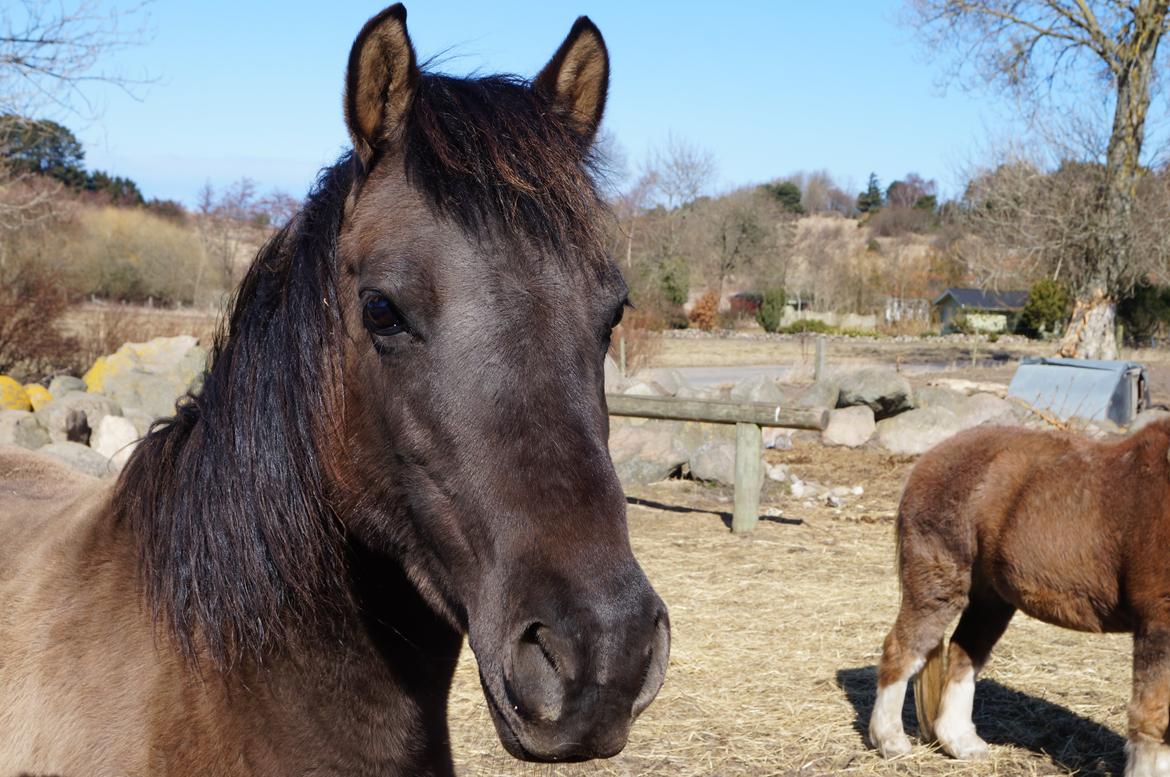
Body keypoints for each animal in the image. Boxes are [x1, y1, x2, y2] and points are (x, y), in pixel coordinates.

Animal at [870, 418, 1170, 777]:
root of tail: (930, 458)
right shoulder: (1158, 624)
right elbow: (1154, 714)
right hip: (938, 586)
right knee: (902, 649)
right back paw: (890, 742)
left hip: (992, 601)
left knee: (964, 653)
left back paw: (962, 743)